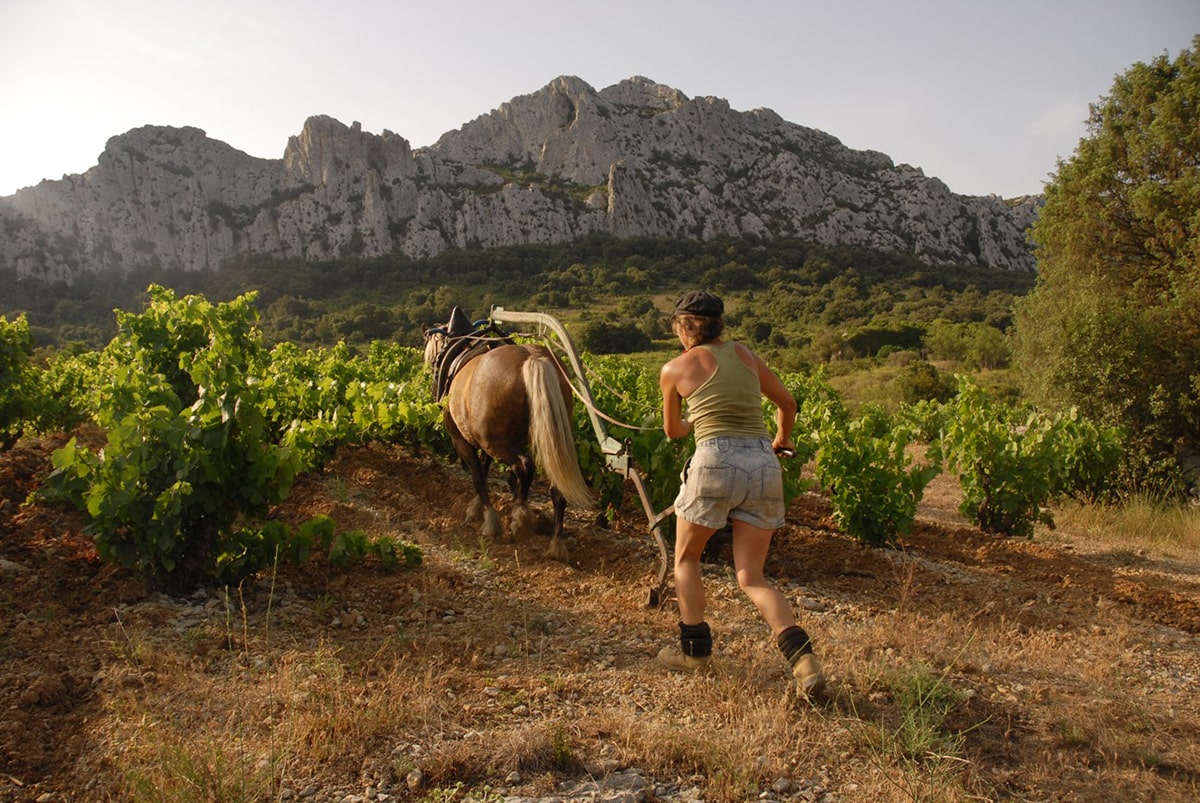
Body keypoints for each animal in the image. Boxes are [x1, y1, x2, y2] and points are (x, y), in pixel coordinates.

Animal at [422, 324, 595, 556]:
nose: (427, 365)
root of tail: (532, 357)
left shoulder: (461, 440)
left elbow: (478, 476)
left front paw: (487, 518)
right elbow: (485, 468)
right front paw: (478, 507)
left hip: (496, 443)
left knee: (524, 465)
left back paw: (520, 517)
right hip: (547, 442)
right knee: (555, 489)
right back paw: (555, 544)